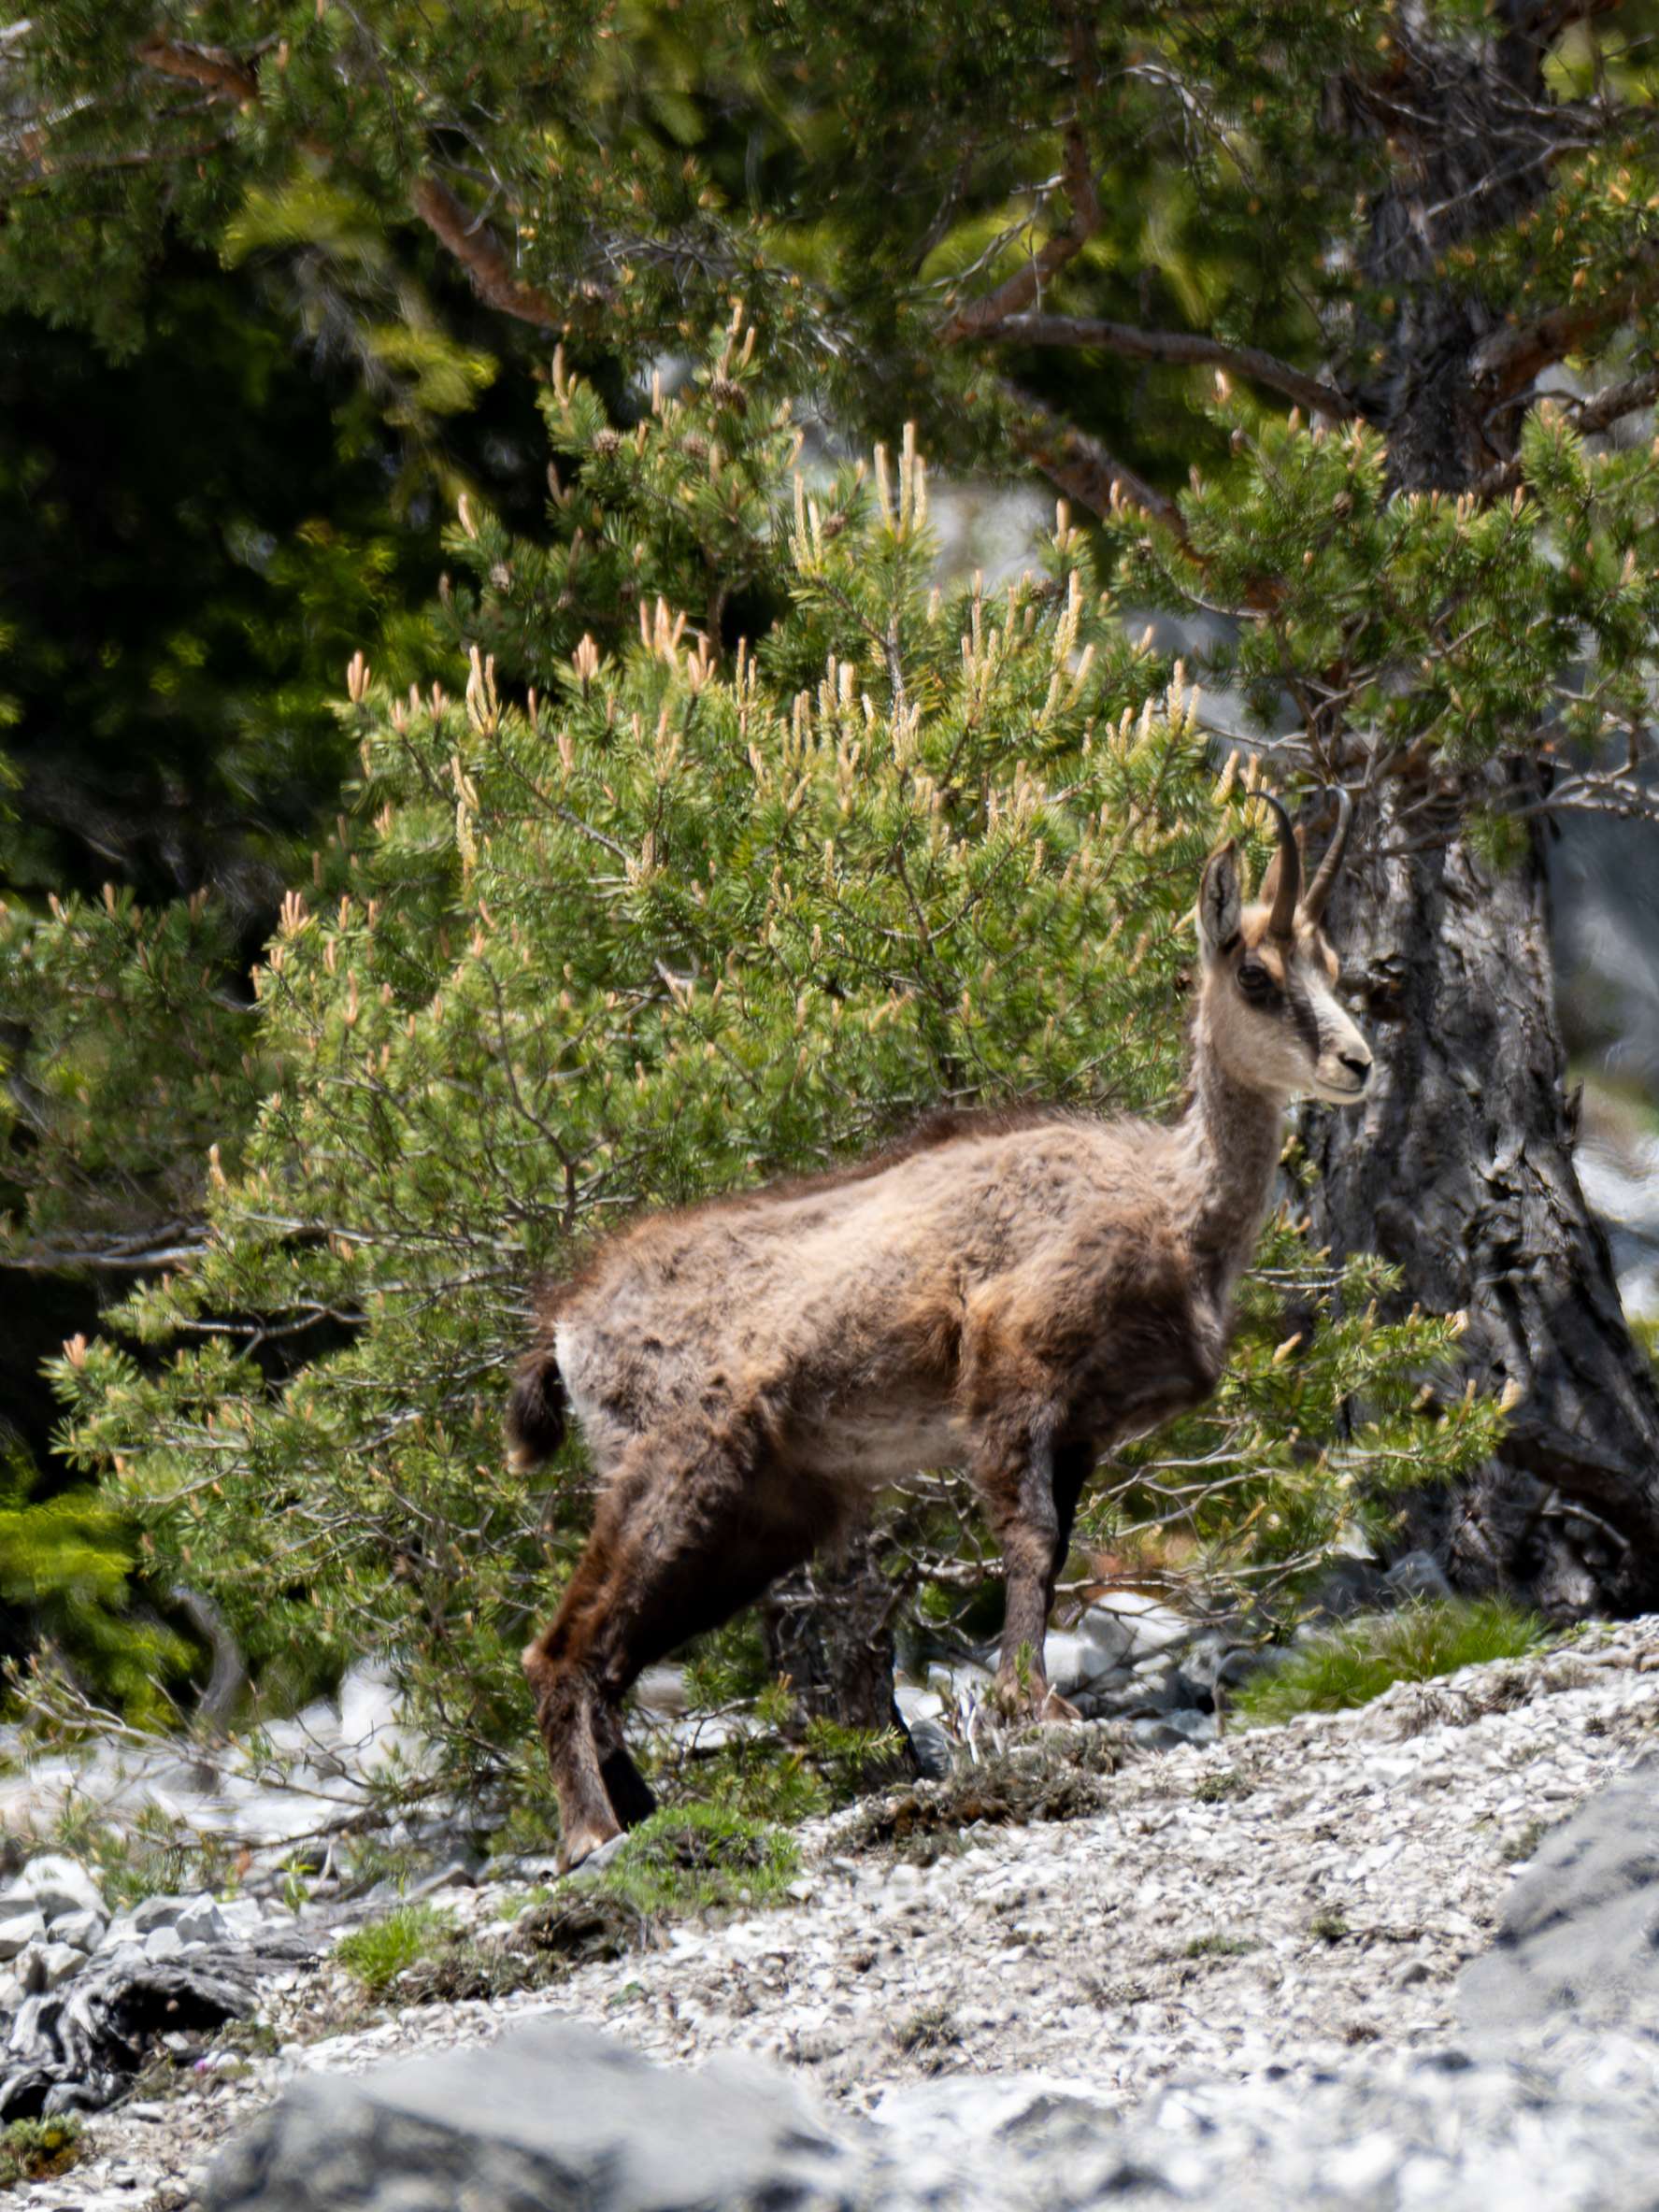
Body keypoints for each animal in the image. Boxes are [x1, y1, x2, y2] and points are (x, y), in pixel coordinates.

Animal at [508, 793, 1372, 1865]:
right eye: (1254, 976)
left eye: (1331, 965)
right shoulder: (1011, 1365)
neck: (1172, 1204)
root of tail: (566, 1328)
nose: (1356, 1061)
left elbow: (1055, 1547)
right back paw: (589, 1832)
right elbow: (1030, 1539)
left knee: (615, 1655)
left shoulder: (1082, 1425)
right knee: (562, 1647)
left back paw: (651, 1818)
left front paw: (1029, 1700)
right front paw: (1031, 1707)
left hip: (763, 1510)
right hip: (671, 1464)